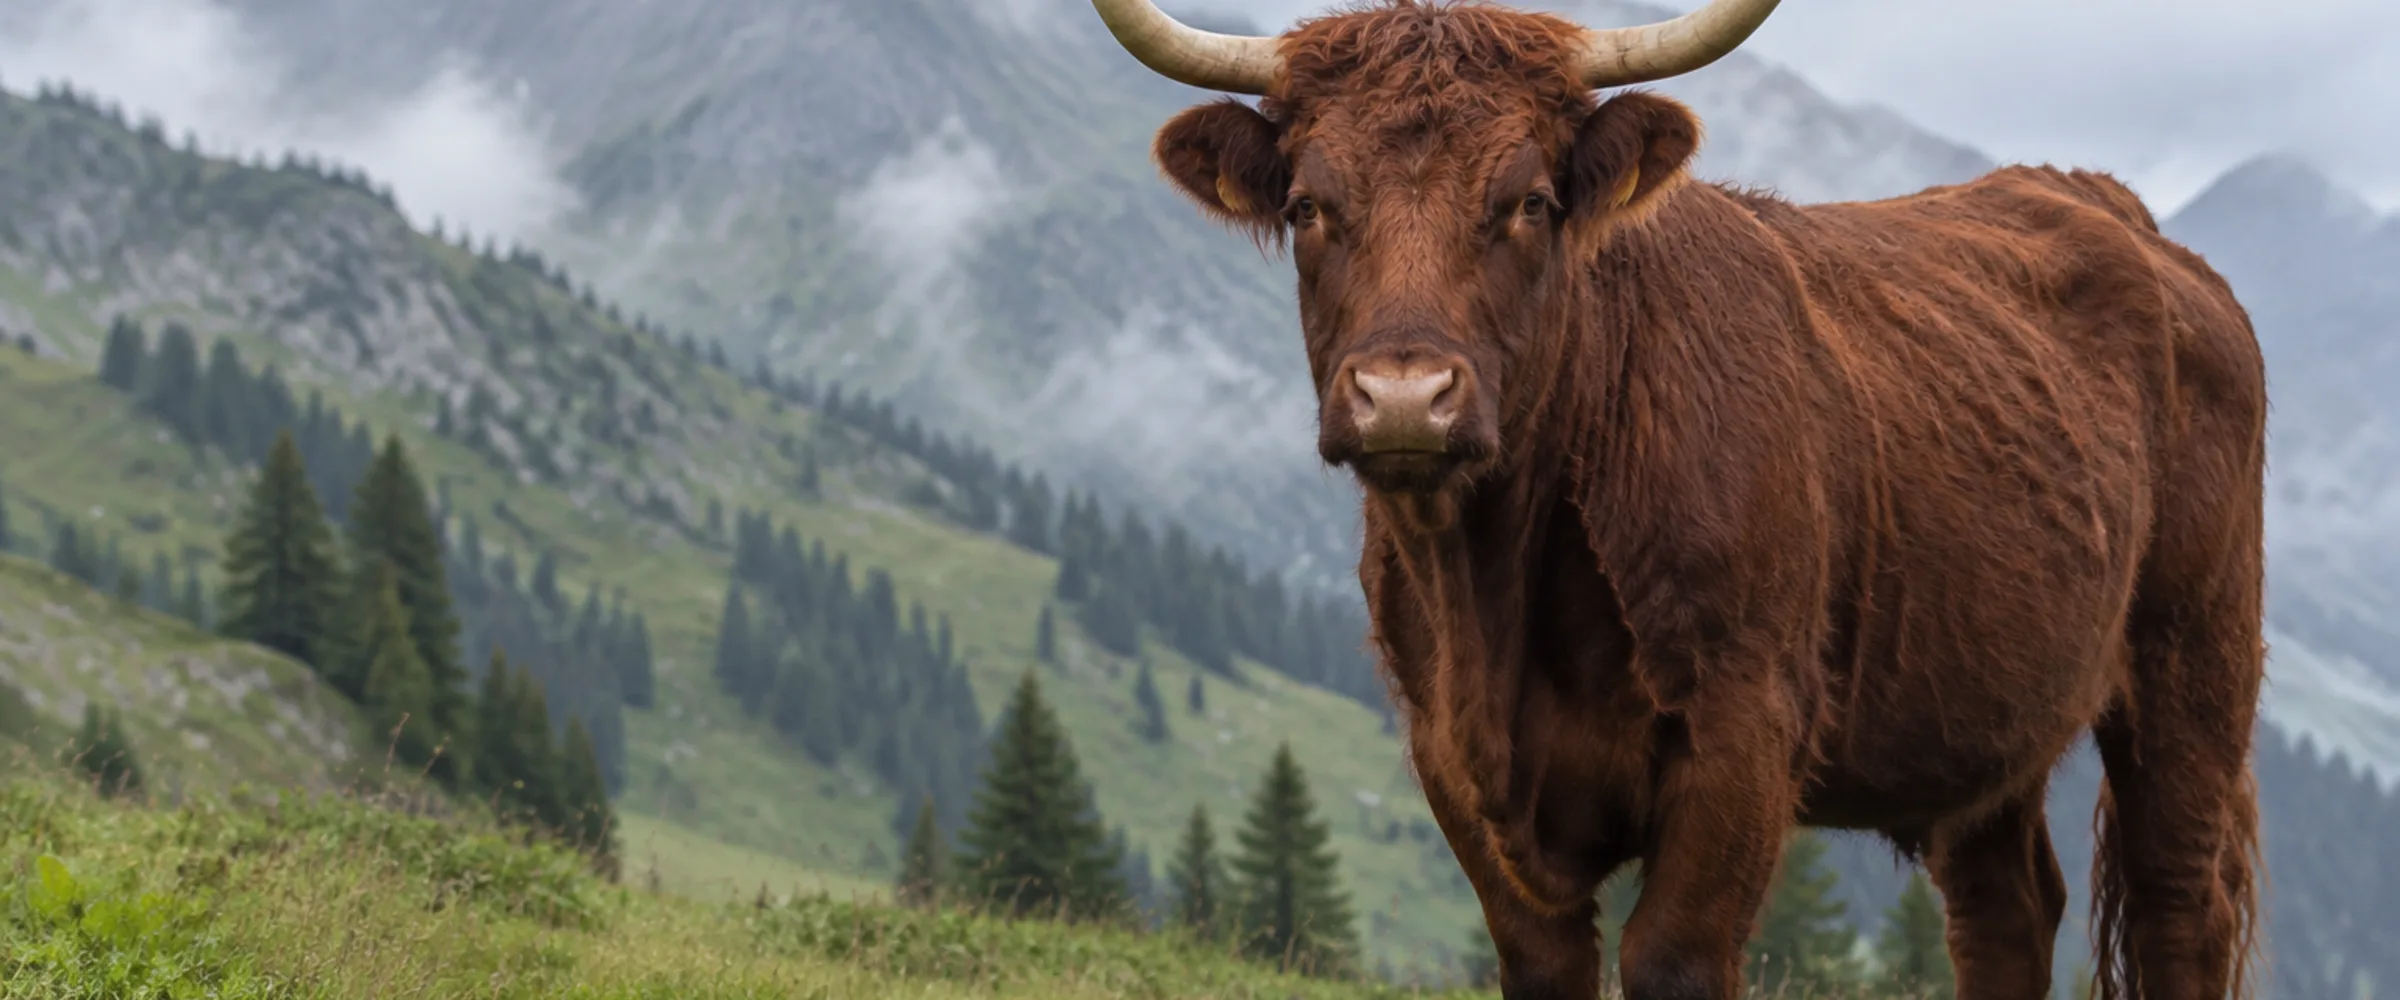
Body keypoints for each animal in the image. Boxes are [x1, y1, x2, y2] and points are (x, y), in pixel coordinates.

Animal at [1085, 2, 2270, 999]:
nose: (1405, 398)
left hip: (2192, 663)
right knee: (2006, 909)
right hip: (1986, 705)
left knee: (2178, 900)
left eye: (1529, 201)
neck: (1500, 596)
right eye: (1306, 206)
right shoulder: (1451, 759)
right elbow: (1545, 962)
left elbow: (1673, 959)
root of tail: (2111, 209)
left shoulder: (1743, 731)